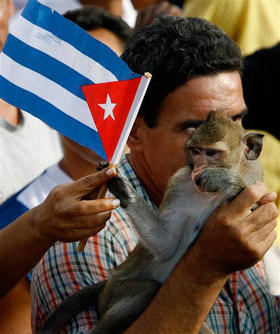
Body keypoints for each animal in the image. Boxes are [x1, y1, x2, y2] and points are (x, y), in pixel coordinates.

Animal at [38, 110, 264, 334]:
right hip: (114, 291)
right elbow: (167, 244)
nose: (197, 169)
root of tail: (107, 284)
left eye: (211, 153)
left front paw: (222, 179)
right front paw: (122, 188)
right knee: (146, 291)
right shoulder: (179, 181)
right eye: (195, 151)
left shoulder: (255, 177)